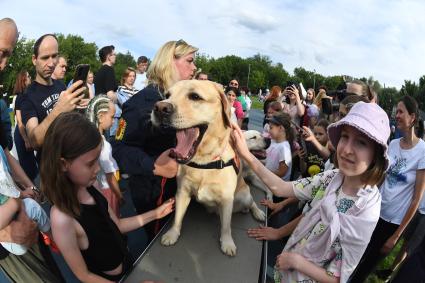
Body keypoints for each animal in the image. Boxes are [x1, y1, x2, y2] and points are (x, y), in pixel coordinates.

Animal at [152, 80, 264, 258]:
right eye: (167, 95)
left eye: (195, 96)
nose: (160, 108)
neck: (203, 163)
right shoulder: (182, 192)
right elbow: (177, 217)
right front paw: (173, 234)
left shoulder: (226, 199)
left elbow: (226, 226)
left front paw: (227, 243)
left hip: (244, 196)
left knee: (251, 202)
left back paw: (258, 212)